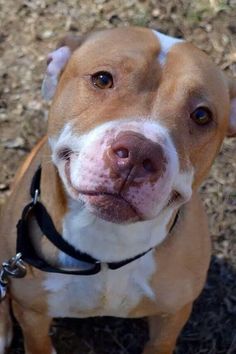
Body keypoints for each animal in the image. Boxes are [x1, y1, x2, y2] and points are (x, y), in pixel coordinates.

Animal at [0, 27, 236, 354]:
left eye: (202, 115)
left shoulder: (172, 318)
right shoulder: (32, 315)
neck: (107, 243)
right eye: (102, 79)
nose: (138, 153)